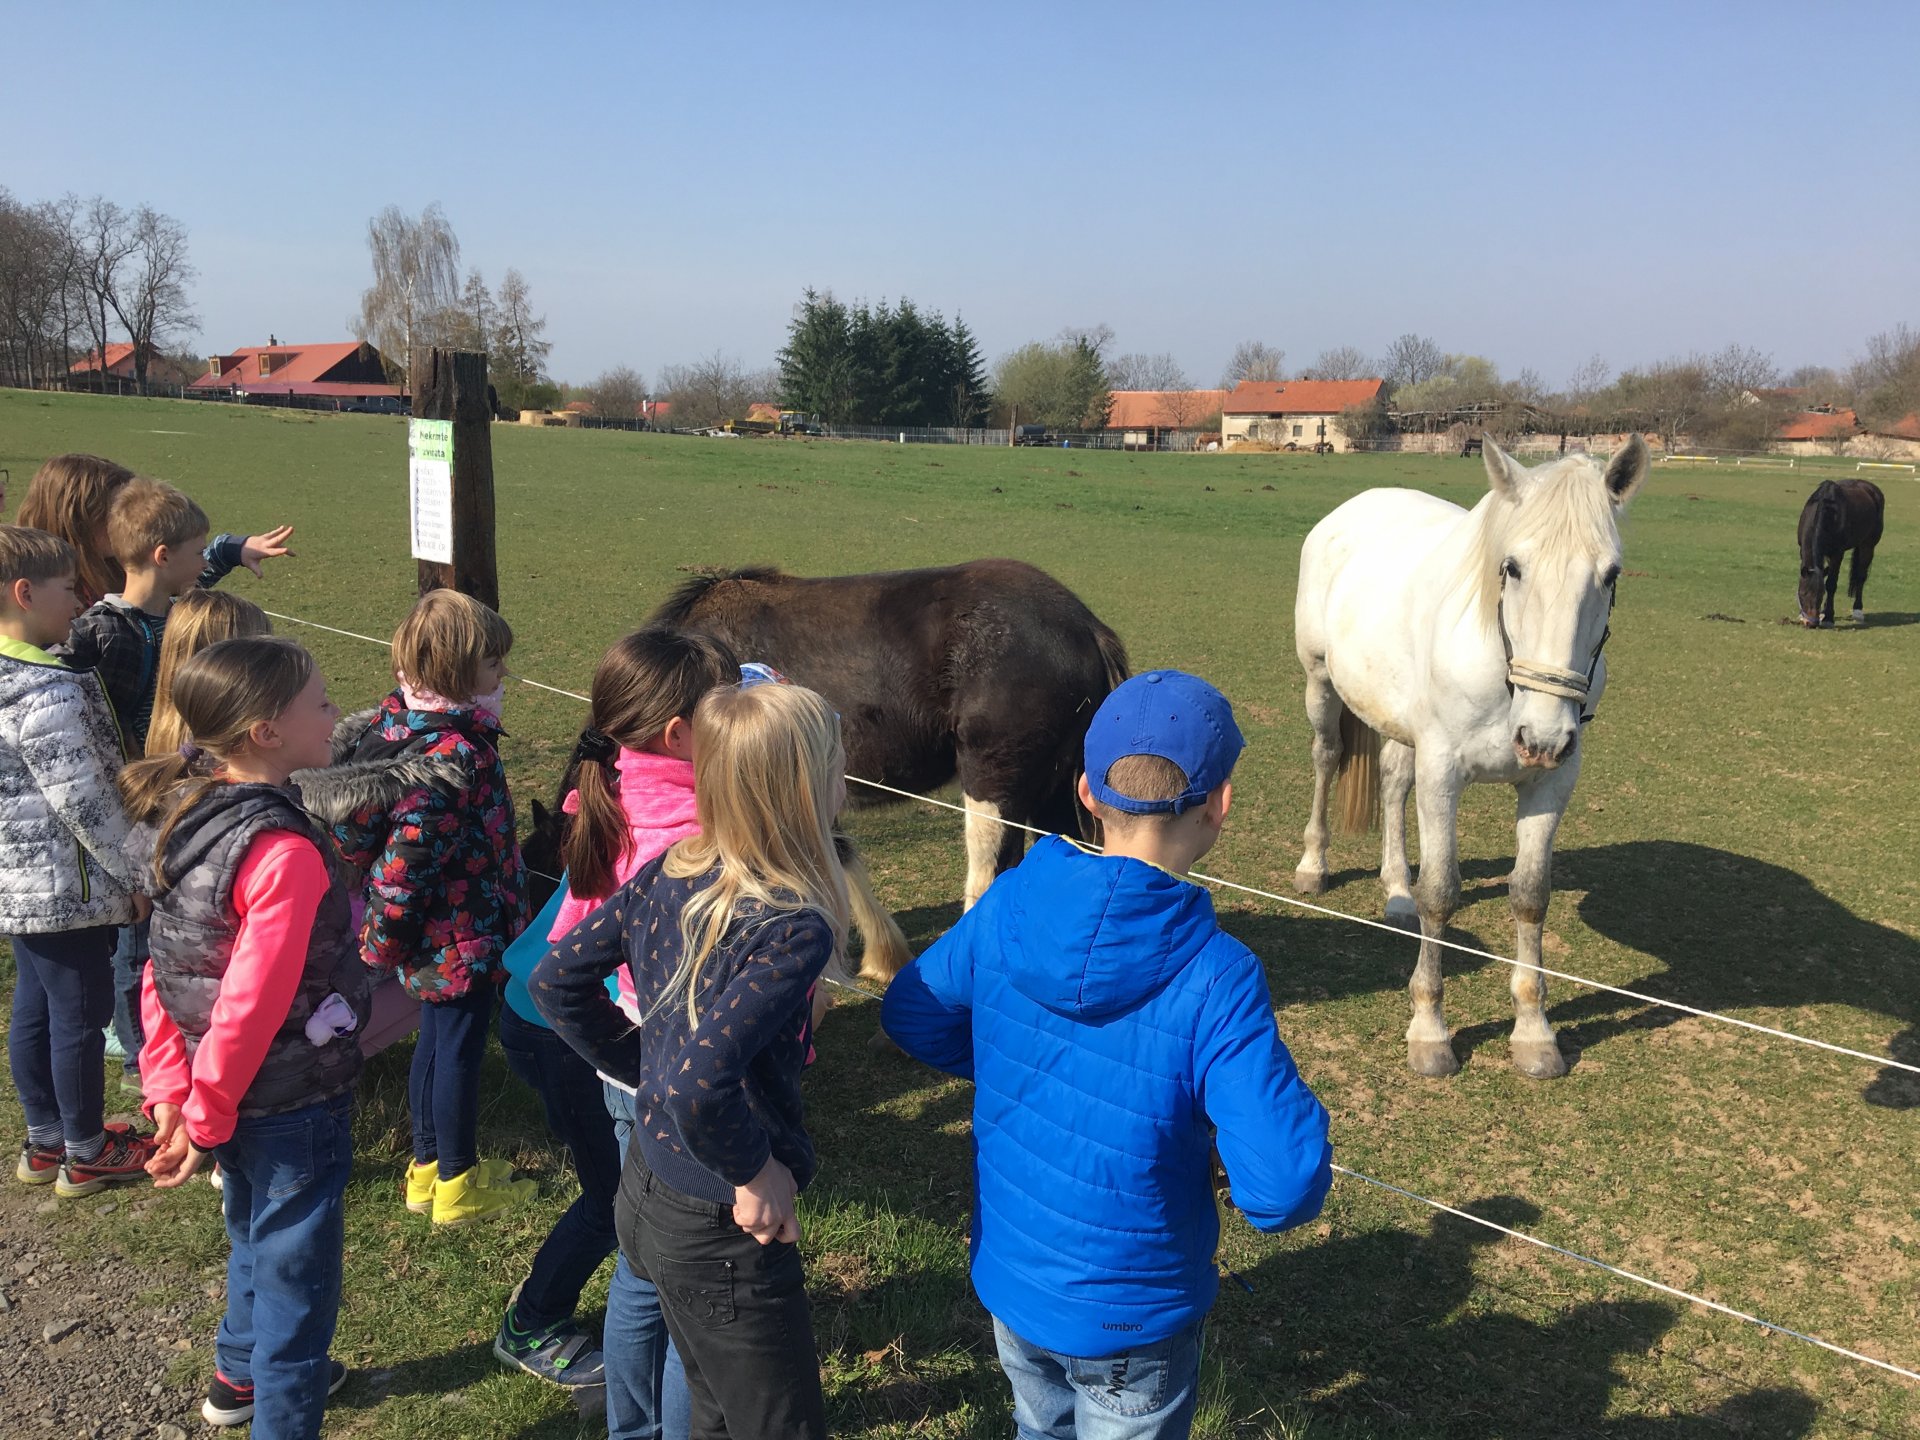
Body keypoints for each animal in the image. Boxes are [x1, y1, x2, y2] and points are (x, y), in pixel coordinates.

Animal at [1292, 436, 1651, 1079]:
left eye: (1610, 574)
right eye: (1512, 567)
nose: (1542, 737)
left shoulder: (1551, 782)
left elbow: (1530, 895)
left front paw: (1534, 1033)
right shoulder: (1444, 774)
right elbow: (1442, 893)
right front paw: (1429, 1031)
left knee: (1392, 782)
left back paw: (1396, 890)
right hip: (1321, 685)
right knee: (1327, 758)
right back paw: (1314, 864)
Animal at [1796, 479, 1885, 627]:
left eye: (1821, 595)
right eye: (1803, 593)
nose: (1811, 623)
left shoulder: (1837, 554)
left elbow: (1831, 584)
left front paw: (1828, 617)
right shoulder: (1804, 551)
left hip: (1868, 546)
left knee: (1860, 577)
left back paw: (1857, 611)